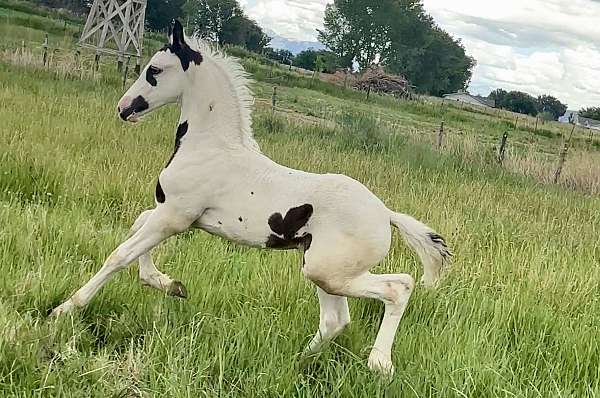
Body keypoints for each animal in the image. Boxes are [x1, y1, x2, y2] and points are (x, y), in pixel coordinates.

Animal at [52, 21, 450, 376]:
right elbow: (137, 226)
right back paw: (295, 363)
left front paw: (65, 309)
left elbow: (119, 255)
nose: (124, 108)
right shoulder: (172, 213)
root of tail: (386, 213)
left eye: (154, 70)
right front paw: (171, 285)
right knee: (336, 319)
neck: (209, 147)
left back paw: (379, 364)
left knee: (399, 287)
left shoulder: (175, 217)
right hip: (324, 271)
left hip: (330, 272)